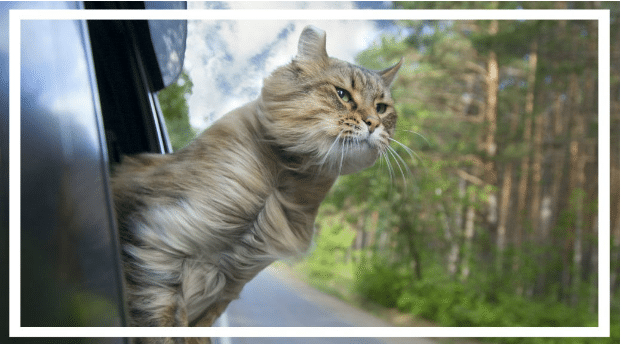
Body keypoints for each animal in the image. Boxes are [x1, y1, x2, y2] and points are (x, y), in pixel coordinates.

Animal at [112, 26, 404, 344]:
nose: (373, 123)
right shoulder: (156, 246)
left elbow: (198, 327)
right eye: (343, 95)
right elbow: (163, 326)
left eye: (382, 108)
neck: (280, 184)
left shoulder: (231, 283)